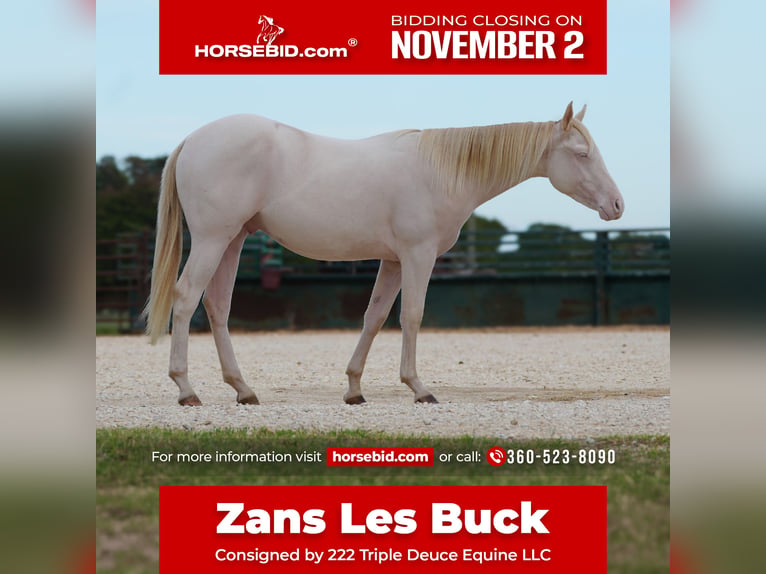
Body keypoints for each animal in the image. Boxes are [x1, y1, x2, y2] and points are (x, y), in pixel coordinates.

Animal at [143, 102, 623, 406]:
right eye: (582, 154)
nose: (617, 205)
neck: (441, 171)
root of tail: (193, 139)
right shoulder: (417, 256)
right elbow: (411, 316)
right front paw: (419, 388)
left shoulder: (392, 261)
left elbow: (373, 318)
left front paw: (354, 390)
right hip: (213, 239)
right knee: (185, 298)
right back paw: (186, 390)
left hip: (233, 240)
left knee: (217, 307)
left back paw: (243, 390)